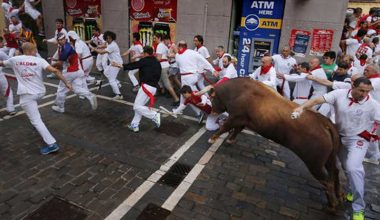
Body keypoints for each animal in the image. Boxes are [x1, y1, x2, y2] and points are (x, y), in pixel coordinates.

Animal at [208, 77, 344, 211]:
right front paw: (230, 139)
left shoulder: (235, 116)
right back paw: (340, 195)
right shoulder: (243, 120)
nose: (212, 111)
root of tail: (325, 122)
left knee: (327, 182)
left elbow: (225, 127)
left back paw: (333, 204)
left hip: (314, 164)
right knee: (335, 171)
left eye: (211, 98)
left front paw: (212, 139)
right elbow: (237, 130)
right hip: (329, 159)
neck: (238, 91)